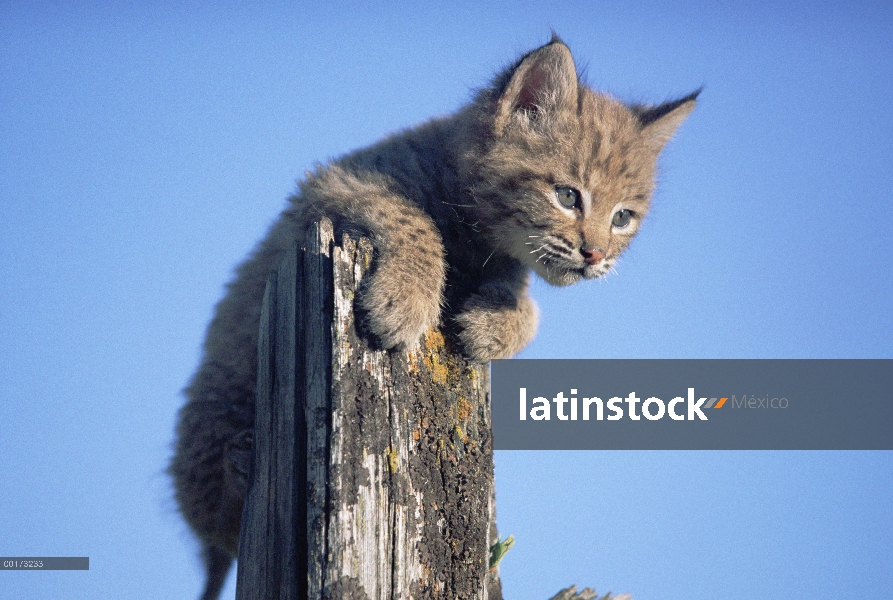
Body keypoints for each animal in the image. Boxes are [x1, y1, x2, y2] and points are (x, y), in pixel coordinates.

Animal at [167, 37, 696, 600]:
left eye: (623, 218)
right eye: (568, 195)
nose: (595, 256)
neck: (478, 230)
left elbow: (526, 303)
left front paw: (493, 324)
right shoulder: (333, 182)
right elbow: (412, 218)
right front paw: (405, 300)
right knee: (214, 518)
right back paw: (241, 462)